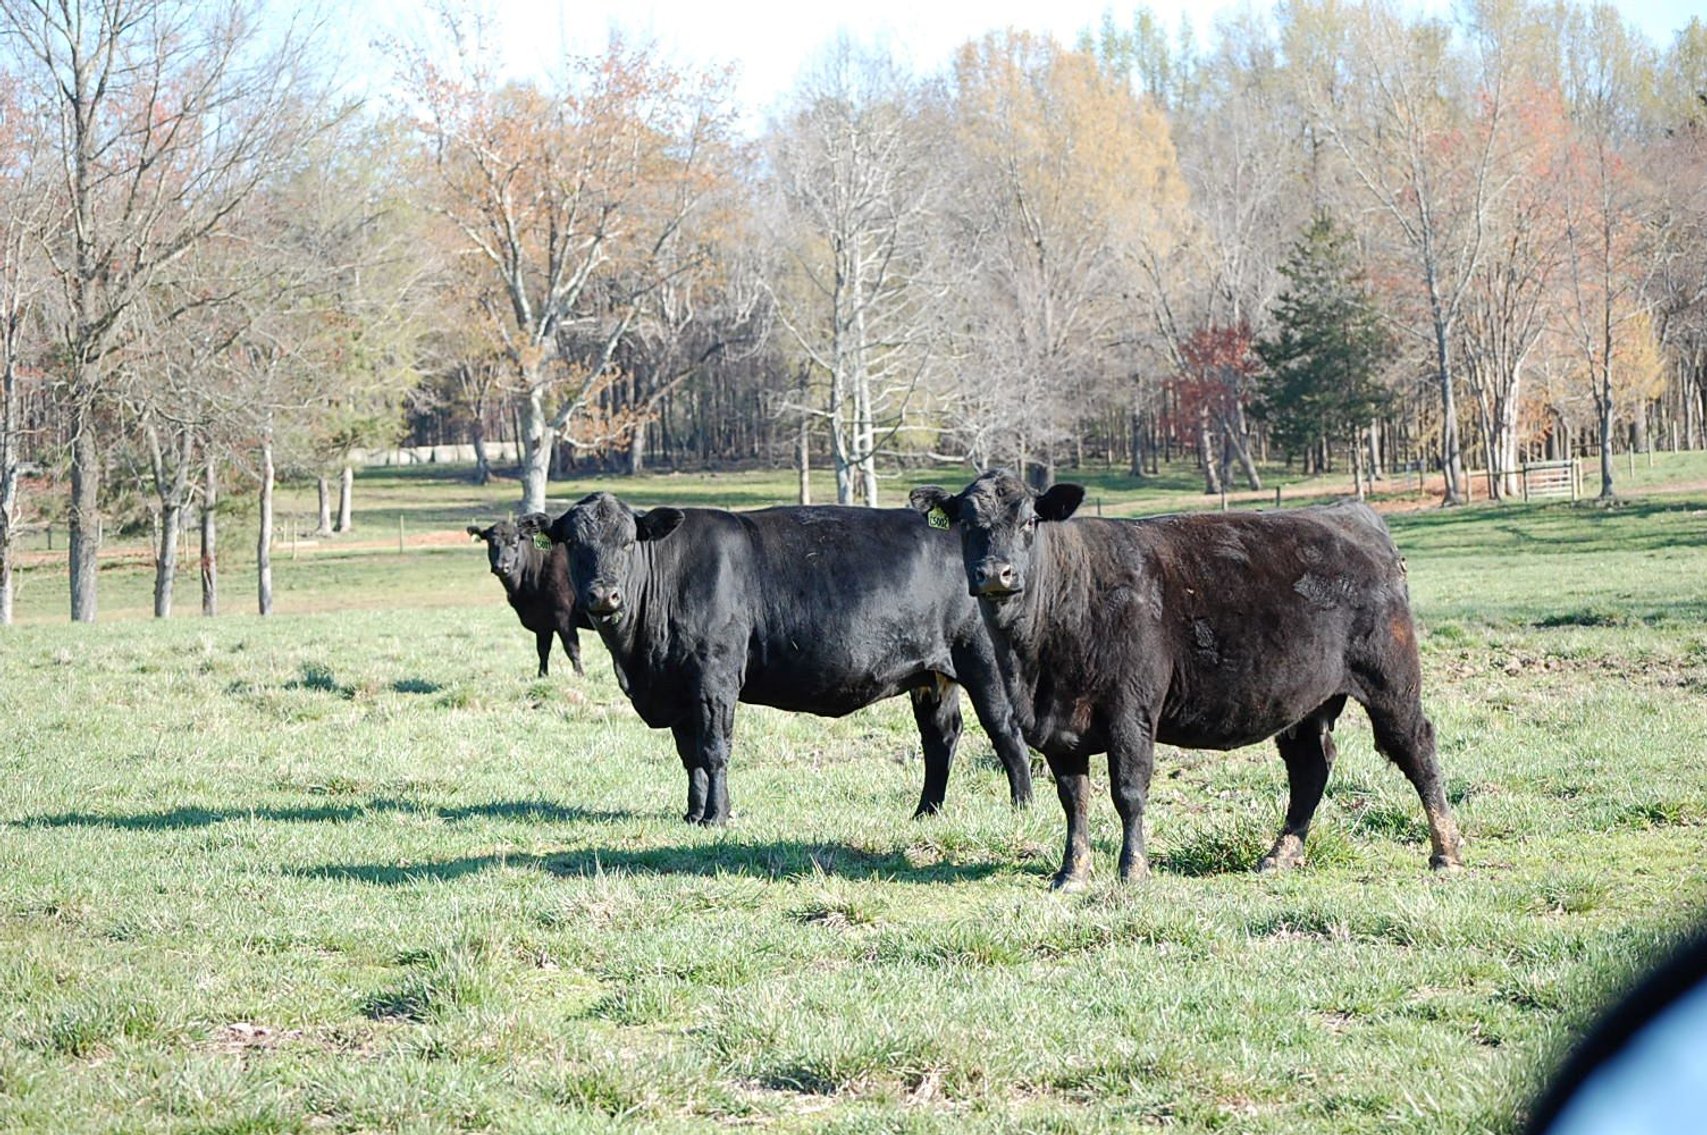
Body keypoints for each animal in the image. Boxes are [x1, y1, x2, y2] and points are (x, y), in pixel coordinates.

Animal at [467, 513, 586, 678]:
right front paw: (542, 675)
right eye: (491, 542)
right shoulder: (543, 622)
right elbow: (542, 650)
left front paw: (580, 675)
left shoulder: (564, 616)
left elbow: (572, 648)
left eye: (515, 541)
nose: (502, 567)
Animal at [546, 492, 1036, 824]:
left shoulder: (714, 677)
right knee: (940, 737)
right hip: (932, 674)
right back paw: (926, 812)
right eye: (572, 542)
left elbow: (714, 748)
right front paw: (692, 814)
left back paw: (1022, 806)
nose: (604, 595)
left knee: (1006, 732)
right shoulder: (680, 688)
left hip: (984, 663)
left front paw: (717, 816)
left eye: (629, 541)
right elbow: (690, 755)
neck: (640, 658)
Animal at [909, 470, 1464, 890]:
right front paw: (1072, 873)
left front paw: (1133, 870)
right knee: (1311, 767)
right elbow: (1074, 800)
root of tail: (1348, 514)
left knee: (1417, 749)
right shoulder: (1058, 729)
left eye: (1029, 521)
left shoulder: (1131, 711)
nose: (995, 574)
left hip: (1392, 680)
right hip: (1306, 702)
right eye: (966, 524)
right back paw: (1280, 855)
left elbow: (1128, 792)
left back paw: (1446, 852)